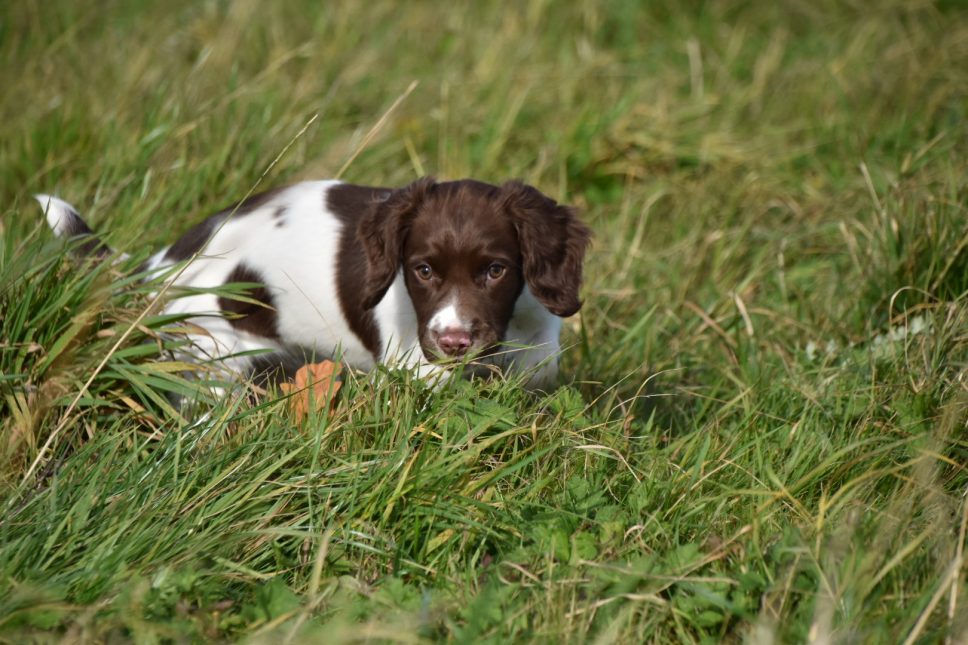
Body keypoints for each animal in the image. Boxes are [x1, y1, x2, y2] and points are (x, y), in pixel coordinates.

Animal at [37, 177, 592, 388]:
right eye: (423, 271)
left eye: (496, 271)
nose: (454, 341)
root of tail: (164, 264)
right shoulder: (416, 371)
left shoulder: (536, 361)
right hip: (211, 358)